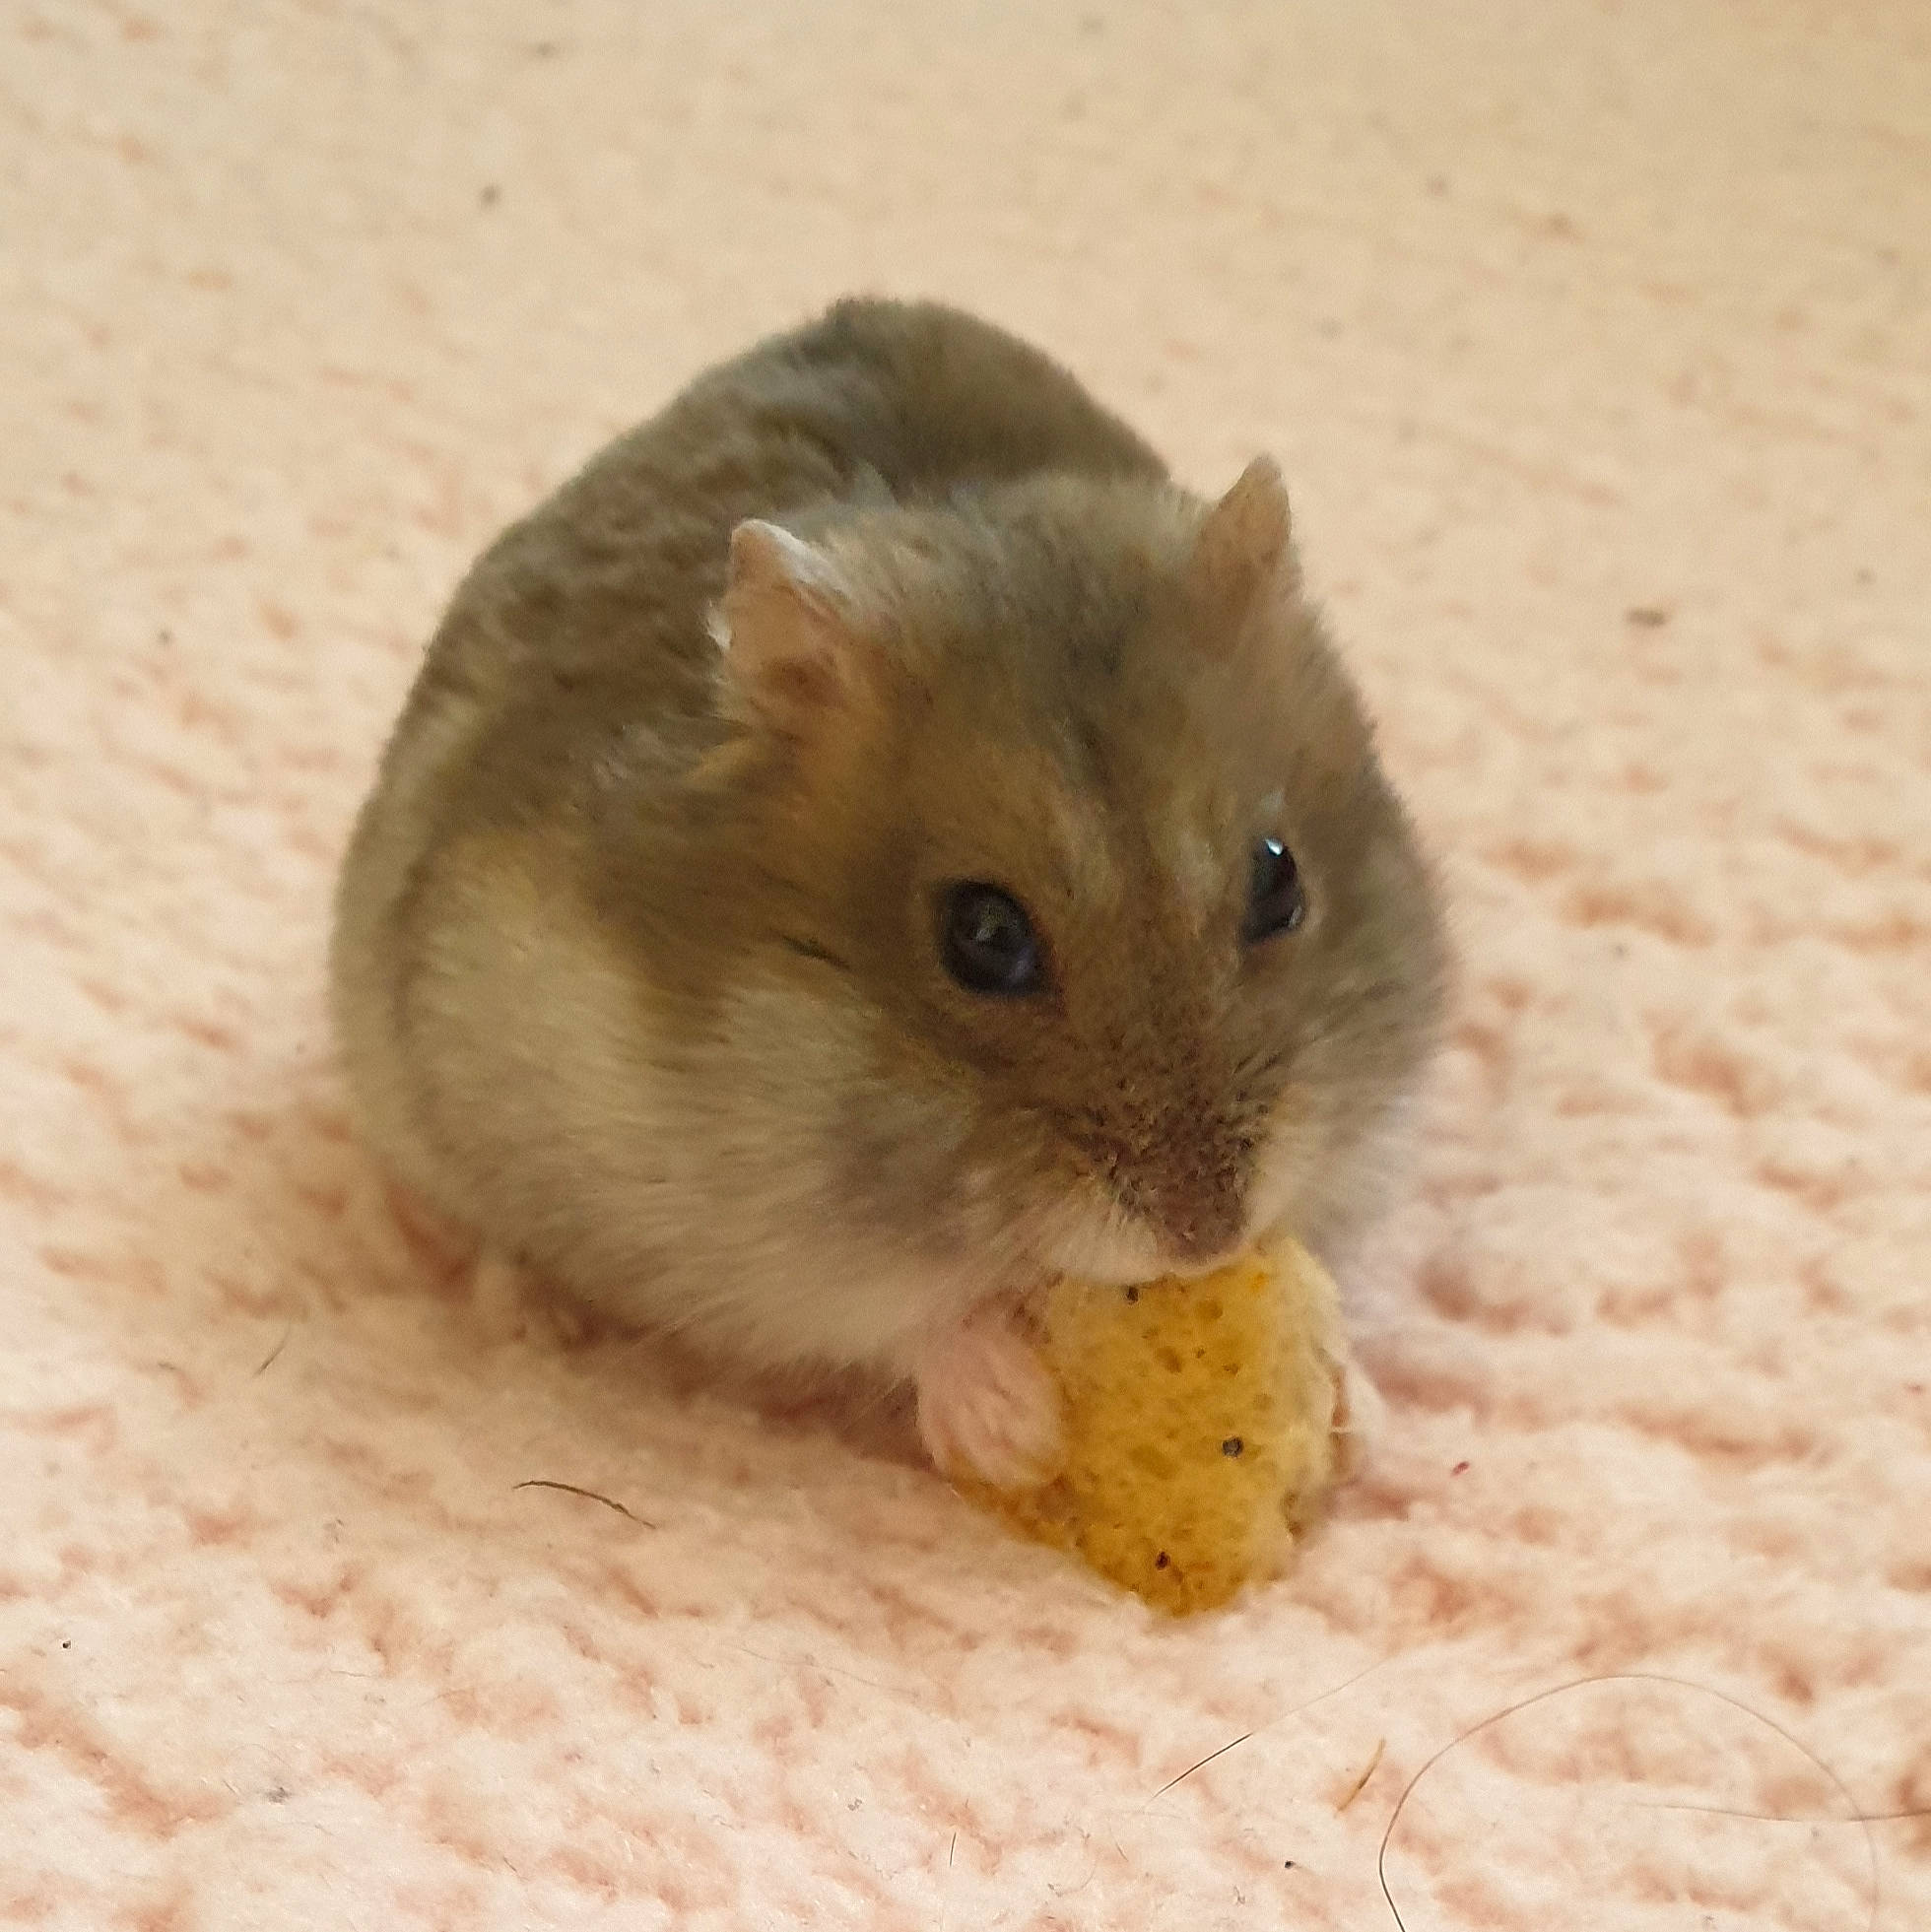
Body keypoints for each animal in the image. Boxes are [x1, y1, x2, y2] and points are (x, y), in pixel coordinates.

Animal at [329, 297, 1449, 1483]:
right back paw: (517, 1310)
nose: (1205, 1238)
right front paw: (1015, 1430)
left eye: (1279, 879)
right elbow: (901, 1316)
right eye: (983, 935)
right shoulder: (754, 1245)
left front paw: (1359, 1421)